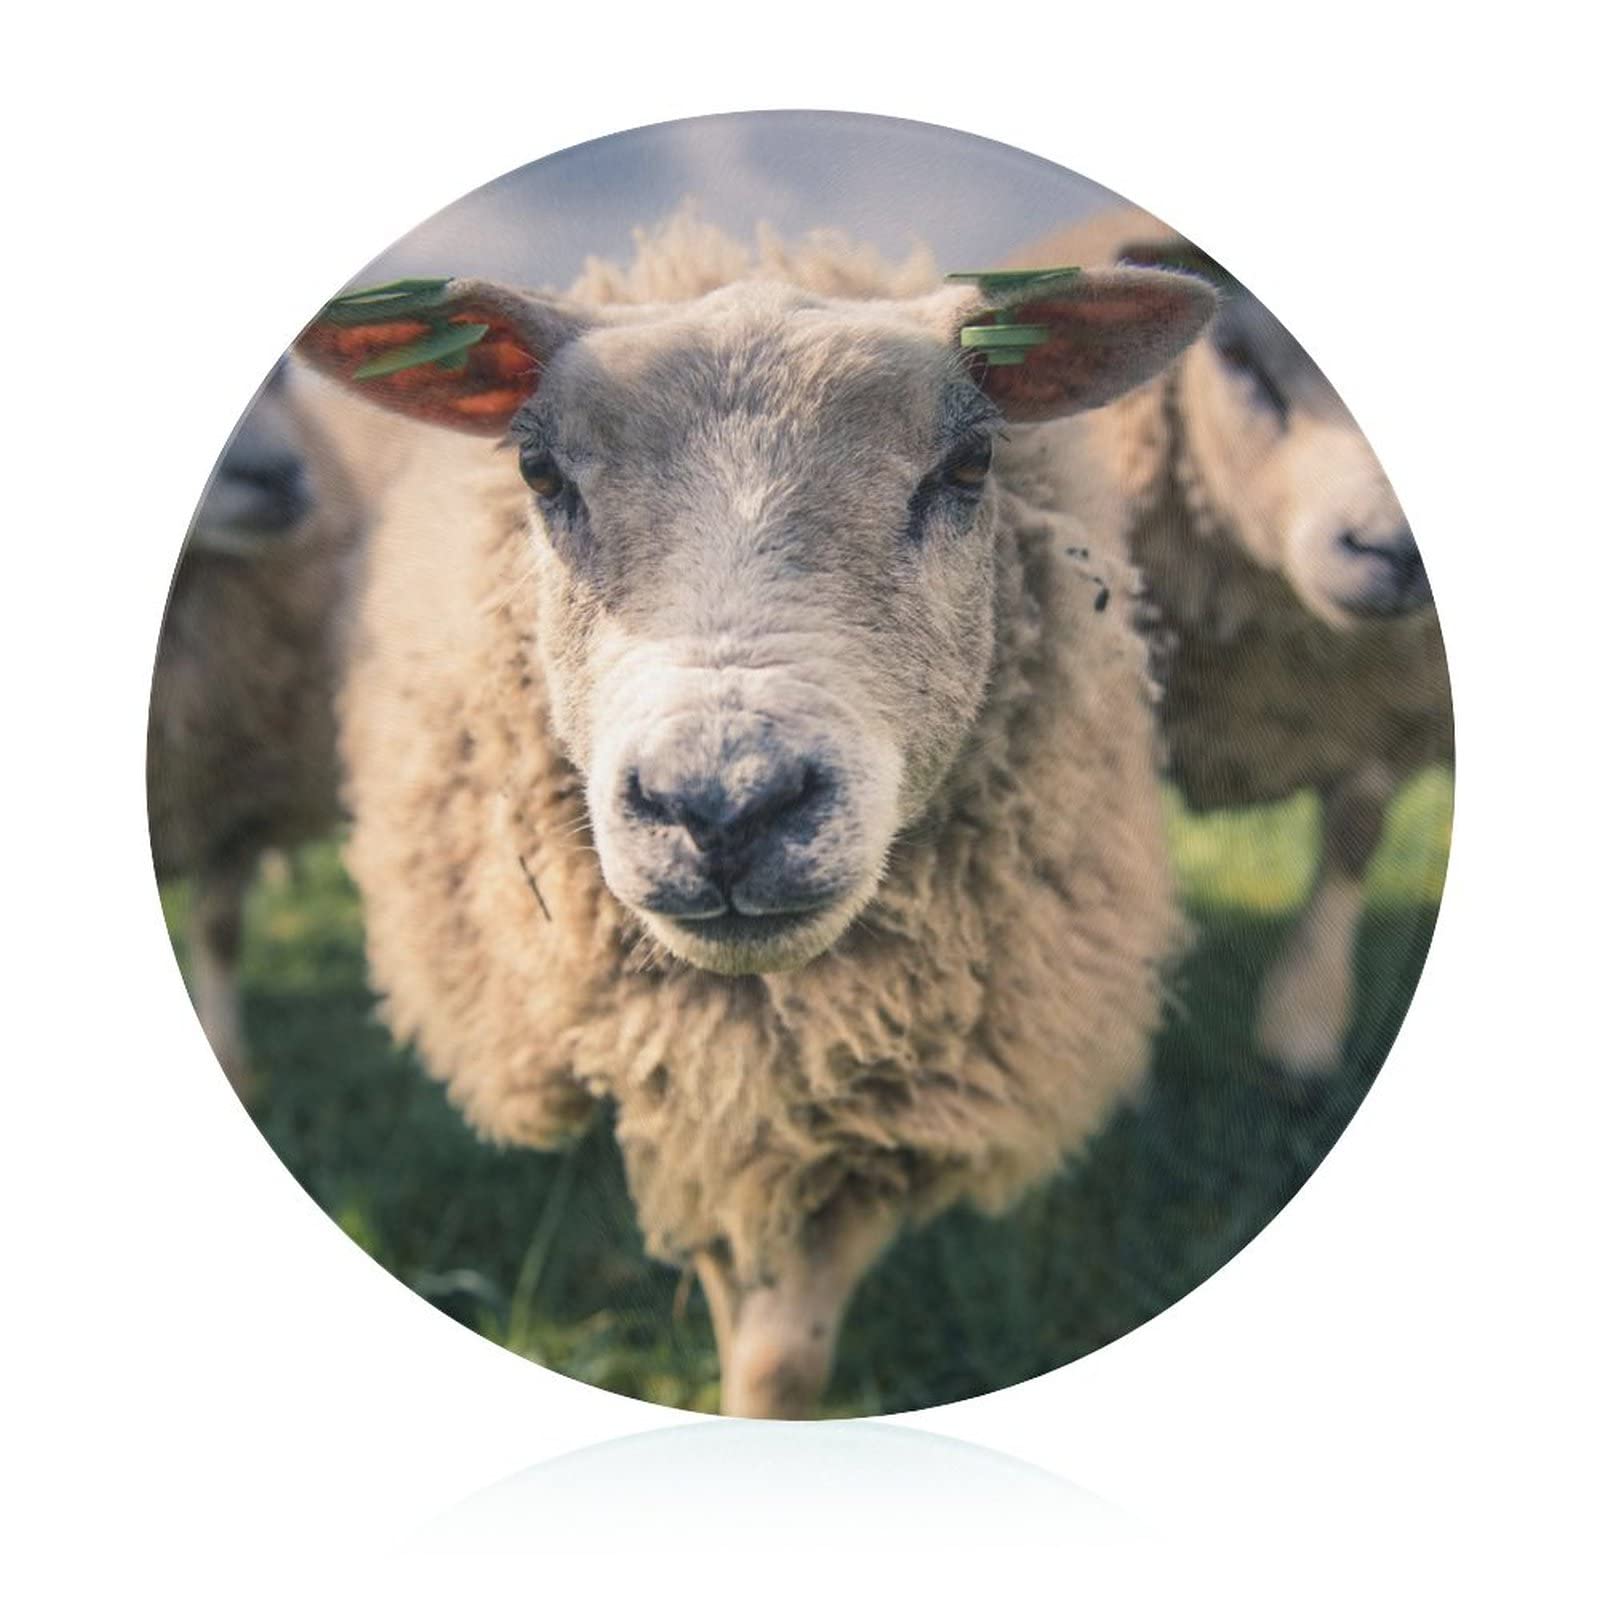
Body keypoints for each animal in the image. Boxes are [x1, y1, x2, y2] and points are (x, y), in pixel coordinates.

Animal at [296, 219, 1216, 1417]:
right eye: (540, 472)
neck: (773, 1027)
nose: (726, 804)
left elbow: (788, 1354)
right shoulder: (687, 1078)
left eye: (969, 466)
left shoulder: (887, 1107)